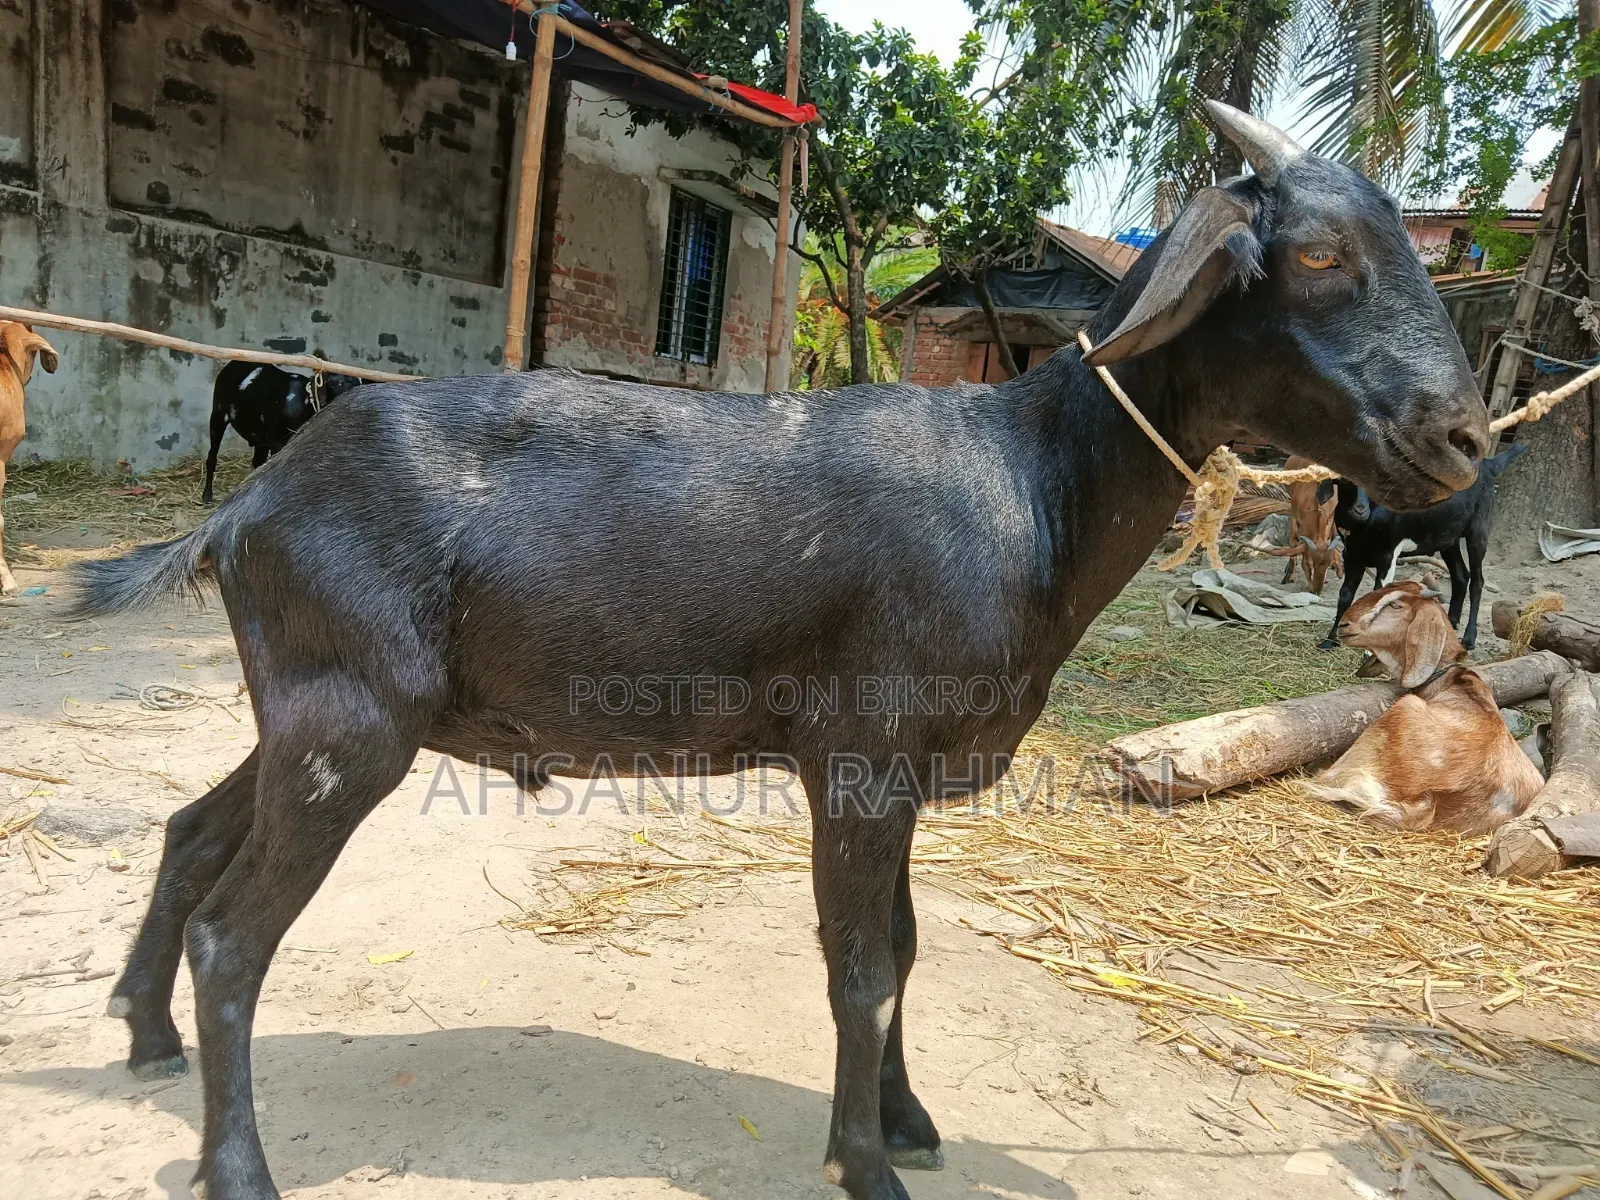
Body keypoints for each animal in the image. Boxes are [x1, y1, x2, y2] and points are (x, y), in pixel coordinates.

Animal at [202, 360, 362, 502]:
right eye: (337, 383)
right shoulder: (277, 442)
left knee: (257, 461)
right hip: (218, 413)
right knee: (212, 455)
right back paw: (207, 495)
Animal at [1261, 454, 1342, 594]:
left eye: (1328, 564)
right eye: (1309, 564)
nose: (1315, 591)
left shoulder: (1330, 517)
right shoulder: (1294, 514)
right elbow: (1293, 544)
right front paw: (1290, 575)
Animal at [1322, 441, 1528, 650]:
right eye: (1345, 480)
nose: (1360, 510)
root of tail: (1489, 465)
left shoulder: (1388, 554)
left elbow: (1379, 593)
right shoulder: (1353, 554)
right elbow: (1345, 595)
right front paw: (1330, 640)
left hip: (1479, 530)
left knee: (1477, 581)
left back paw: (1469, 639)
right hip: (1448, 538)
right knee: (1461, 575)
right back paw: (1451, 623)